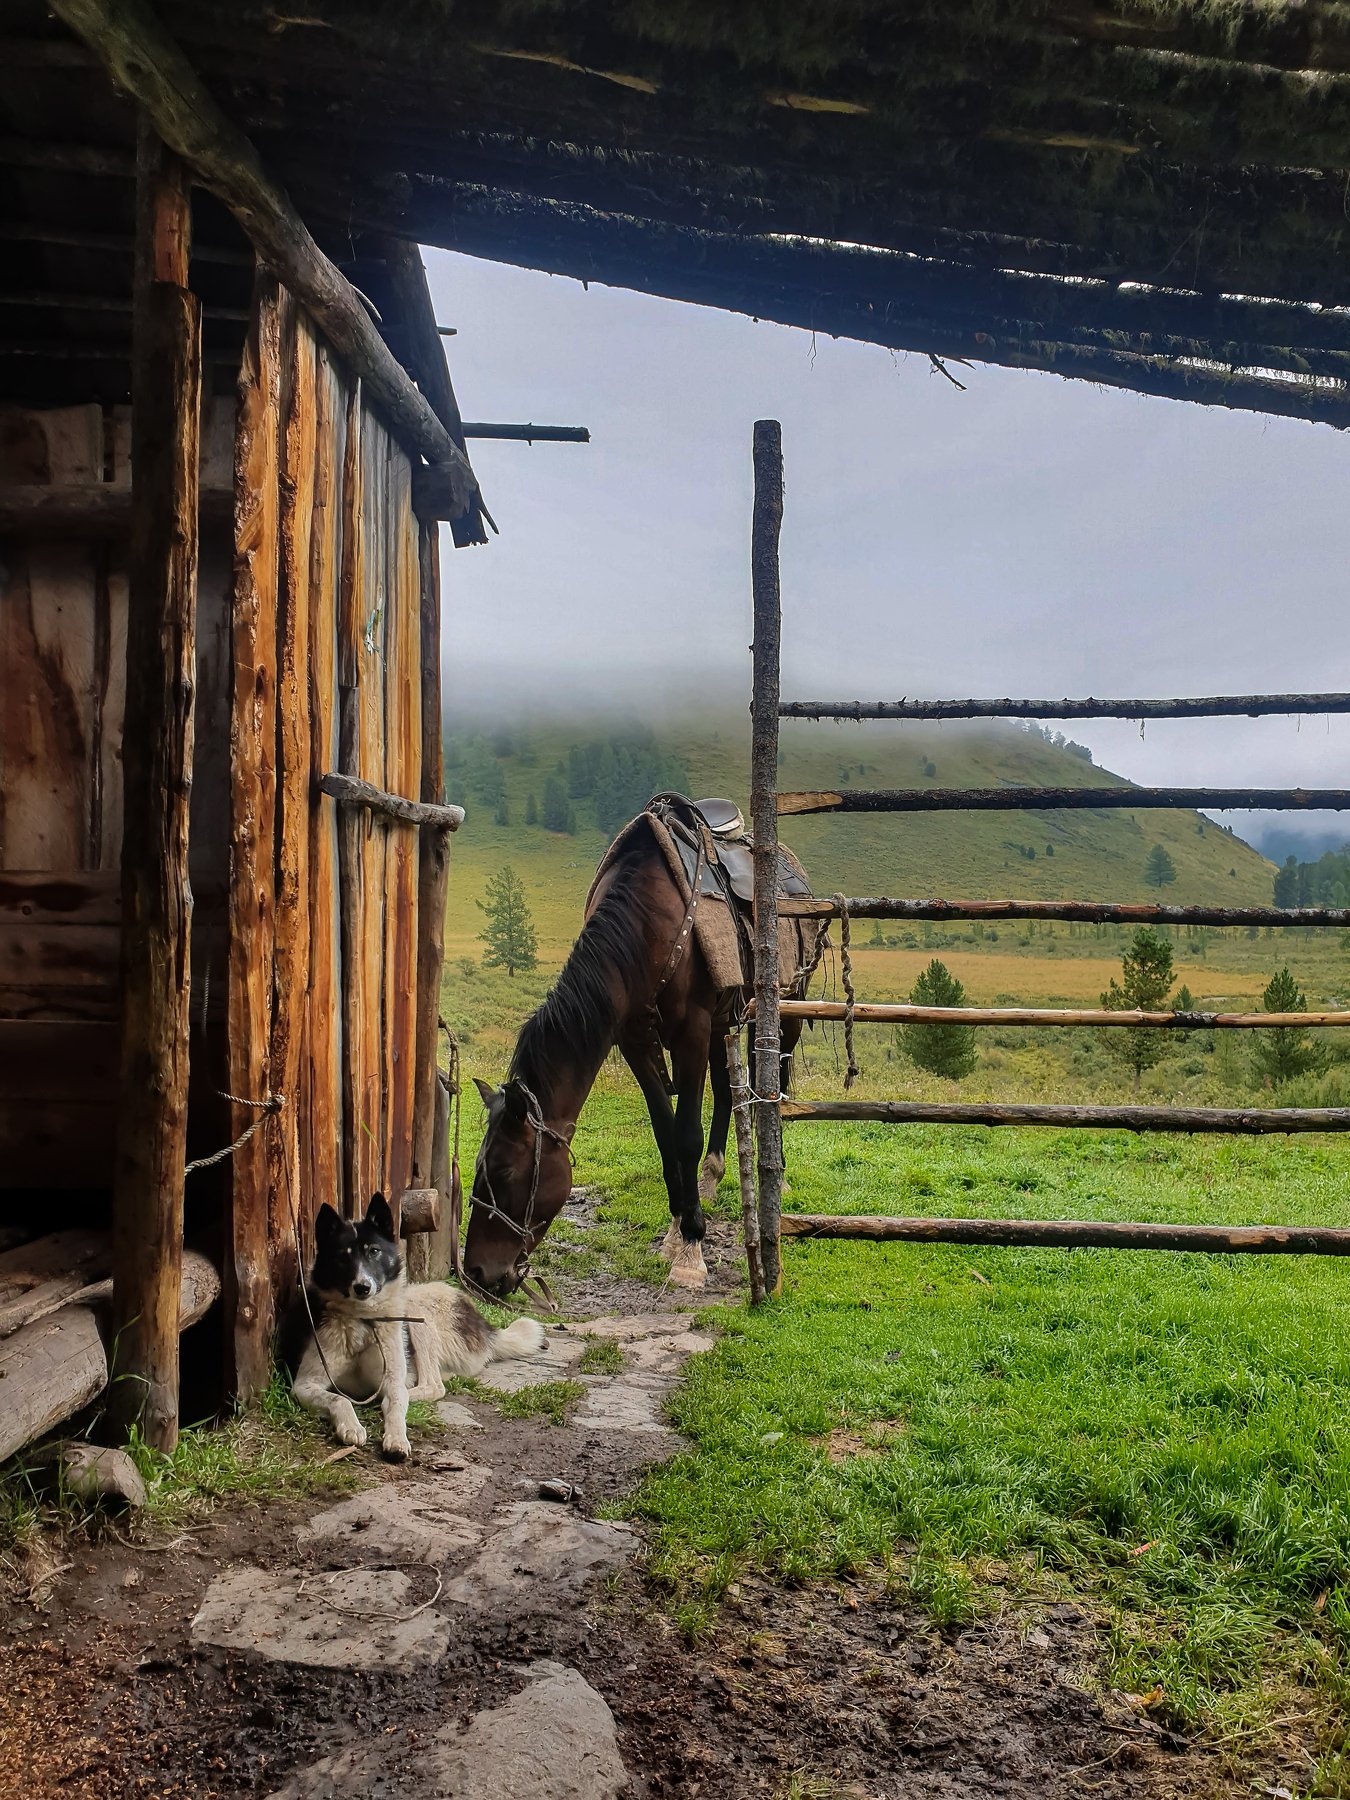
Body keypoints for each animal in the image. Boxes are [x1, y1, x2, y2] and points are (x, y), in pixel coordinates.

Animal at [291, 1195, 550, 1461]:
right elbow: (339, 1400)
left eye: (374, 1251)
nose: (363, 1287)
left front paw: (396, 1439)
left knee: (432, 1386)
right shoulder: (303, 1385)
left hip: (417, 1311)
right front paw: (351, 1426)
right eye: (343, 1256)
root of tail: (483, 1324)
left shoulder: (393, 1380)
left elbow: (396, 1403)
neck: (364, 1320)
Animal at [464, 802, 813, 1296]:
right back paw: (710, 1179)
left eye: (504, 1173)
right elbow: (665, 1135)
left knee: (776, 1084)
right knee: (725, 1094)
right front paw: (677, 1228)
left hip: (787, 1006)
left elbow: (686, 1135)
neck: (647, 926)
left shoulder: (690, 1030)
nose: (475, 1273)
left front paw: (691, 1251)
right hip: (722, 1023)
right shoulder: (633, 1040)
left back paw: (773, 1178)